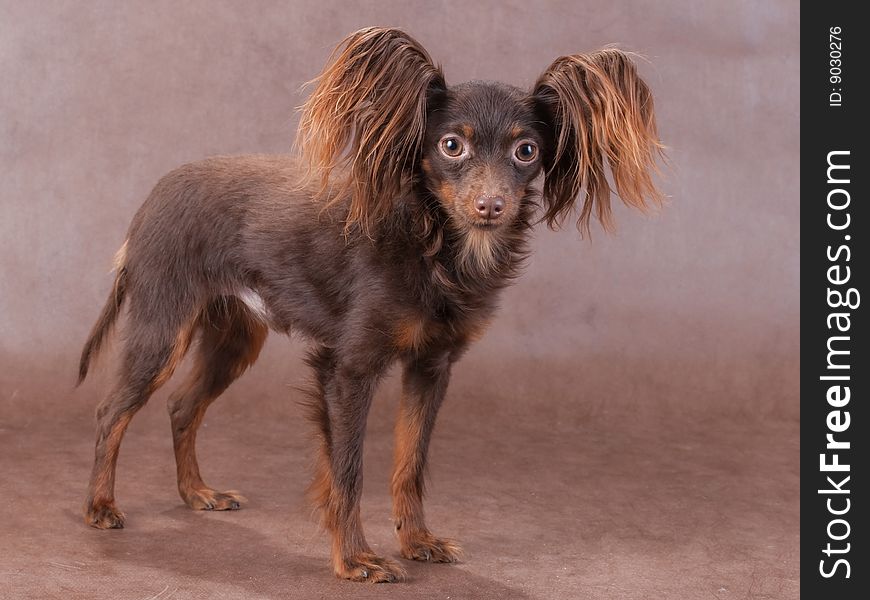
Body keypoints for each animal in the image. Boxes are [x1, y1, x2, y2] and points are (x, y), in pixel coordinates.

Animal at [78, 27, 664, 580]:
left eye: (527, 152)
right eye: (451, 146)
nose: (490, 205)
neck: (435, 246)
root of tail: (150, 200)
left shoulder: (431, 367)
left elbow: (410, 464)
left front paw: (417, 541)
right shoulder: (347, 370)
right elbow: (348, 472)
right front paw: (355, 558)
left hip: (234, 340)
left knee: (182, 405)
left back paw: (197, 493)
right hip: (162, 330)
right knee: (111, 412)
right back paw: (101, 506)